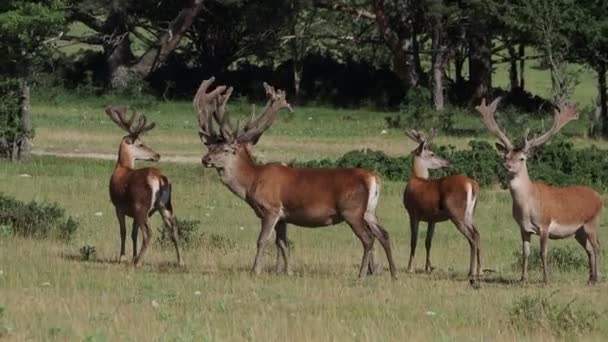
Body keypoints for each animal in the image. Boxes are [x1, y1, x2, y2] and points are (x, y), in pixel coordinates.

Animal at [105, 106, 182, 268]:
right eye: (140, 144)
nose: (157, 155)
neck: (122, 168)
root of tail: (160, 179)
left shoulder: (118, 207)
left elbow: (123, 231)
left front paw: (123, 257)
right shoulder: (131, 211)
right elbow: (133, 234)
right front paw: (132, 255)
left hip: (141, 205)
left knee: (148, 233)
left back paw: (138, 262)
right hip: (165, 205)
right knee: (174, 229)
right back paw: (180, 261)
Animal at [195, 77, 400, 278]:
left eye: (225, 149)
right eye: (210, 147)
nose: (205, 159)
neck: (252, 182)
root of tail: (373, 178)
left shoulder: (271, 209)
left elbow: (262, 240)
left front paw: (256, 271)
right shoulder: (283, 217)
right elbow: (282, 244)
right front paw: (288, 272)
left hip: (352, 210)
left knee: (368, 238)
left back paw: (362, 275)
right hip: (370, 211)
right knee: (384, 234)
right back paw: (393, 274)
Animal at [402, 128, 482, 284]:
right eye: (432, 153)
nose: (447, 162)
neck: (416, 179)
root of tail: (472, 184)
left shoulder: (413, 213)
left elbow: (413, 240)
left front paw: (410, 268)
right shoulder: (432, 219)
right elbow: (428, 241)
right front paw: (427, 268)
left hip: (456, 213)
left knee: (472, 237)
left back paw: (472, 272)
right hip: (470, 214)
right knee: (477, 234)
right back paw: (480, 270)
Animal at [478, 98, 600, 284]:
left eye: (522, 158)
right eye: (505, 157)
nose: (507, 166)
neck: (527, 207)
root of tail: (599, 197)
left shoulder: (545, 224)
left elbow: (543, 252)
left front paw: (546, 280)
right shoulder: (523, 228)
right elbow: (526, 253)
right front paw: (523, 279)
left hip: (591, 222)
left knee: (597, 247)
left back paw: (597, 278)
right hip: (578, 231)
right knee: (589, 249)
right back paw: (590, 279)